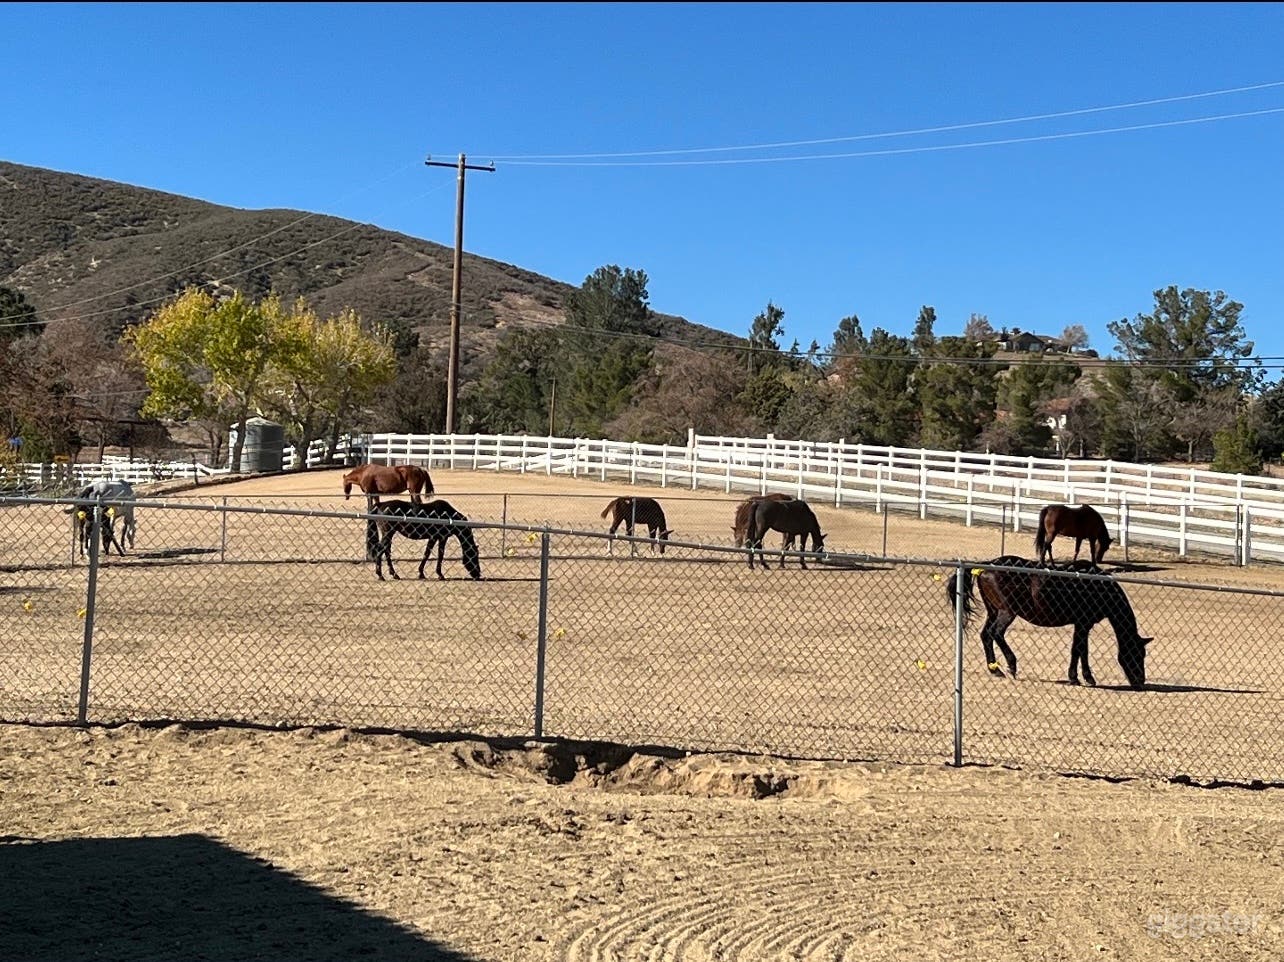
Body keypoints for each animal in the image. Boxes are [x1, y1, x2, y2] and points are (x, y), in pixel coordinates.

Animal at [945, 555, 1151, 689]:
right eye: (1137, 653)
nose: (1140, 681)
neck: (1096, 585)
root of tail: (987, 565)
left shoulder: (1081, 624)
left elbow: (1078, 649)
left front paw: (1077, 677)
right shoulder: (1084, 623)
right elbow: (1080, 649)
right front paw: (1084, 678)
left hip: (993, 612)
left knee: (986, 635)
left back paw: (995, 670)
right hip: (1006, 613)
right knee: (996, 633)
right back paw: (1011, 665)